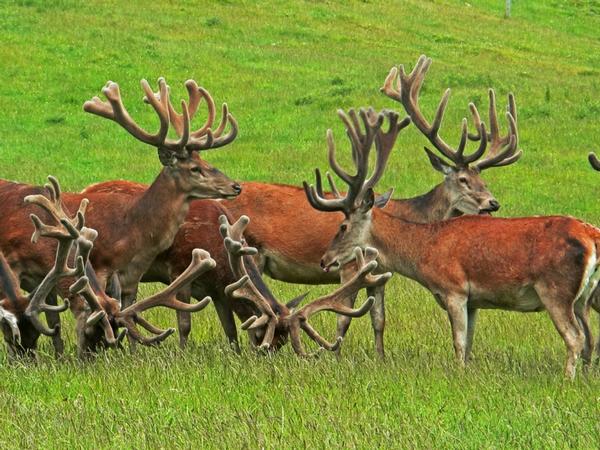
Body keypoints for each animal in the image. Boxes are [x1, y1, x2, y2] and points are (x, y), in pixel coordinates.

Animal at [0, 76, 239, 356]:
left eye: (206, 162)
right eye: (194, 168)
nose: (236, 186)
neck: (134, 228)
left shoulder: (132, 275)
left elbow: (129, 314)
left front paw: (131, 355)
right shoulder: (101, 265)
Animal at [310, 107, 600, 378]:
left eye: (342, 226)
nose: (325, 260)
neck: (424, 250)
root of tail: (591, 236)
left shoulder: (454, 290)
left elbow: (458, 343)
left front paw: (459, 374)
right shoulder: (473, 301)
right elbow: (469, 343)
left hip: (556, 290)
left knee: (575, 337)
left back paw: (567, 379)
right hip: (584, 296)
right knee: (590, 339)